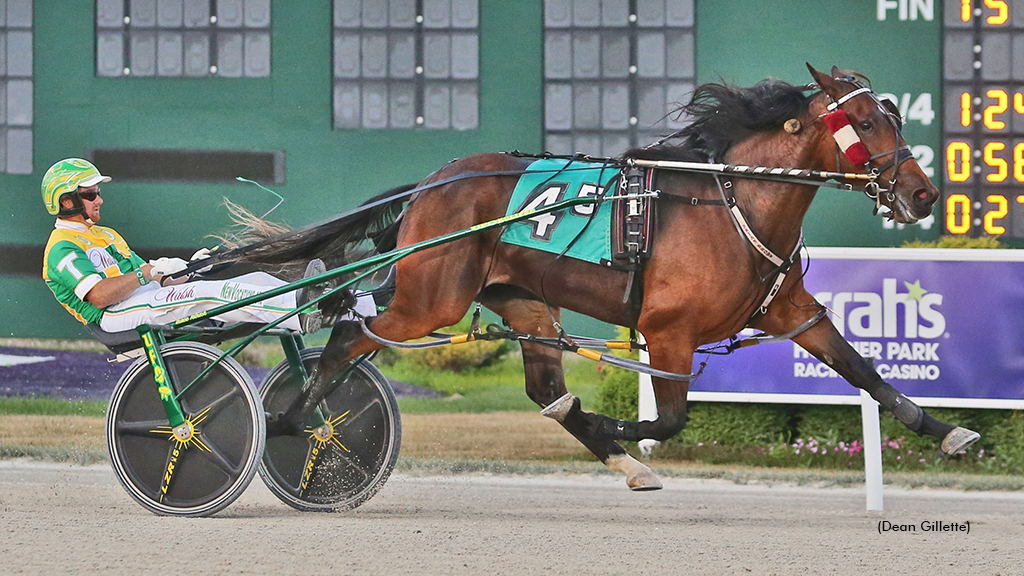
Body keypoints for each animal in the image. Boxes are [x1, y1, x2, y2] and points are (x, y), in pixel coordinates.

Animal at [235, 66, 978, 487]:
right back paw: (290, 419)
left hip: (523, 300)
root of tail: (431, 183)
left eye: (894, 115)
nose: (922, 194)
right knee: (350, 336)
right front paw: (617, 426)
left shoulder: (792, 310)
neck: (734, 200)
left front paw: (949, 432)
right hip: (430, 298)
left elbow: (866, 373)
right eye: (864, 121)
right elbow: (671, 419)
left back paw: (615, 456)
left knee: (541, 387)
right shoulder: (666, 328)